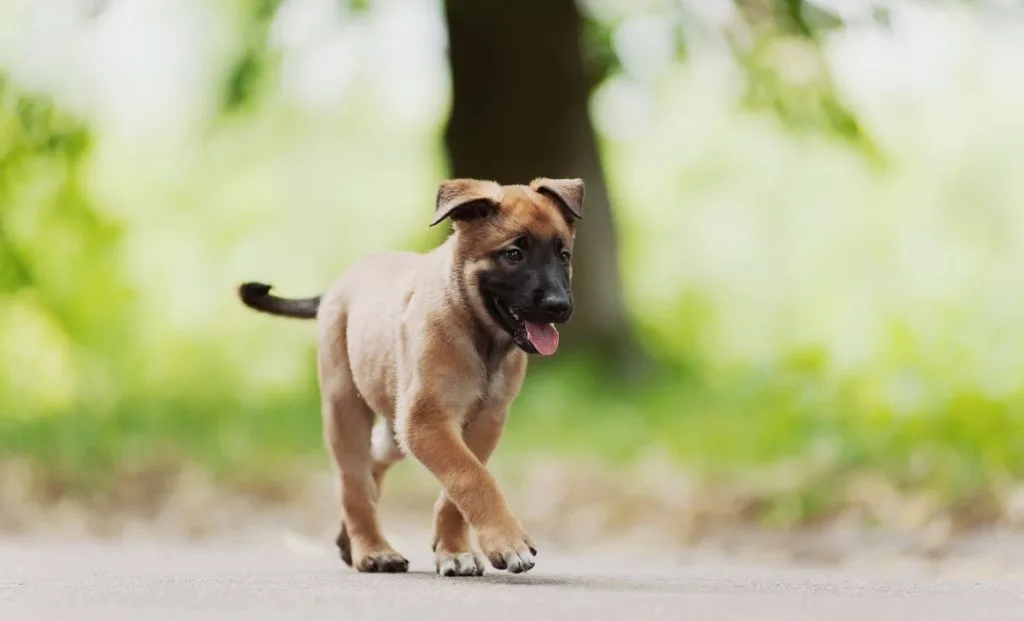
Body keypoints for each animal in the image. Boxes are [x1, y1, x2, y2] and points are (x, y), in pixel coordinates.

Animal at [234, 176, 581, 577]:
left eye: (563, 255)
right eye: (513, 255)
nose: (559, 306)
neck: (478, 331)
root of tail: (339, 283)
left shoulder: (481, 423)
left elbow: (457, 489)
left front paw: (454, 551)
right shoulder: (426, 422)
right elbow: (472, 478)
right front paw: (508, 543)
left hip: (394, 431)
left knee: (373, 464)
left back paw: (349, 541)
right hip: (345, 410)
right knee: (354, 484)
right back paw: (372, 550)